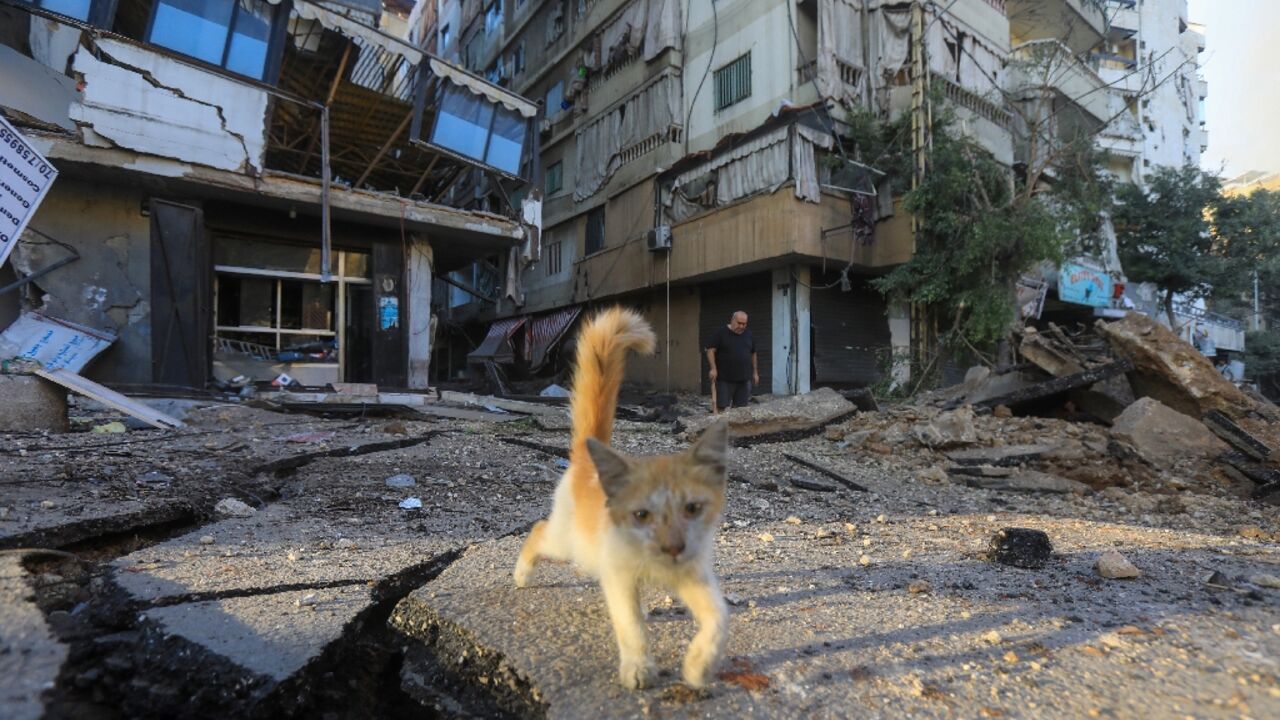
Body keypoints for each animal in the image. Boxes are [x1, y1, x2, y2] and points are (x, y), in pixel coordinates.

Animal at [512, 304, 732, 686]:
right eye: (641, 515)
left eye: (692, 508)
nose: (673, 547)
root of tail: (587, 458)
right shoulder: (618, 576)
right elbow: (631, 626)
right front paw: (639, 668)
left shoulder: (693, 572)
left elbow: (719, 617)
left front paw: (698, 665)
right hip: (567, 542)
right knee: (539, 530)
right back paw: (521, 575)